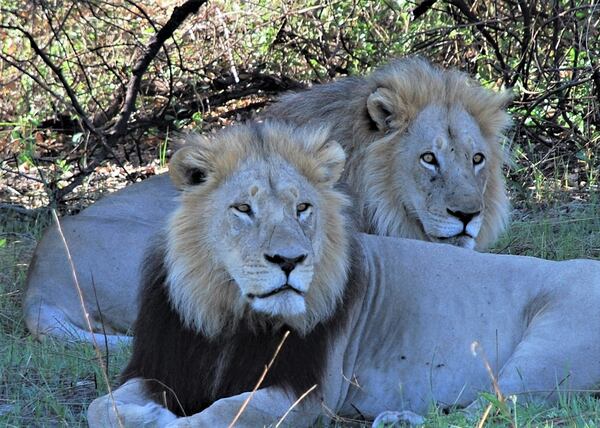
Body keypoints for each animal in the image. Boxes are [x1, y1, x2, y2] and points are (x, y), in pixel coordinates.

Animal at [85, 120, 600, 428]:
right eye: (244, 209)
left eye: (303, 208)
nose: (289, 261)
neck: (229, 313)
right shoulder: (160, 368)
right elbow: (100, 405)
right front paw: (137, 413)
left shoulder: (306, 393)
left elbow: (225, 413)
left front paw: (161, 420)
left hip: (545, 353)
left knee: (497, 406)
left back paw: (400, 420)